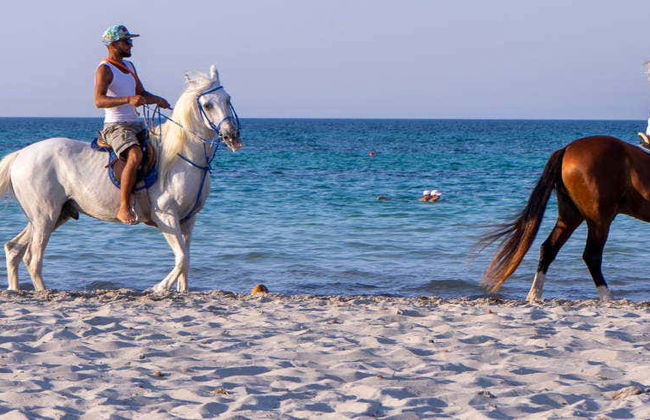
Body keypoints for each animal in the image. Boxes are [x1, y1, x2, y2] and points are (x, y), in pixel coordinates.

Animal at [0, 65, 241, 293]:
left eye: (228, 99)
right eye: (207, 105)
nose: (232, 136)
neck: (182, 156)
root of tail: (21, 155)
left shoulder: (188, 220)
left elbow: (186, 261)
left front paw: (181, 291)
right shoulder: (166, 216)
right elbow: (181, 259)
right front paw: (158, 288)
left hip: (54, 215)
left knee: (14, 249)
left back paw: (15, 289)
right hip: (45, 217)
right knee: (33, 258)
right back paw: (43, 291)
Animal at [480, 135, 650, 302]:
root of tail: (567, 149)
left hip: (570, 217)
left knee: (549, 248)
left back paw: (534, 295)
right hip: (599, 220)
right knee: (591, 256)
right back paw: (607, 297)